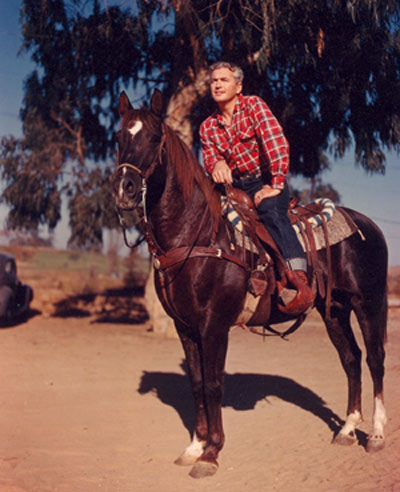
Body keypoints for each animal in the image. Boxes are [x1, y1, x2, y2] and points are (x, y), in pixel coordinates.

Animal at [112, 89, 388, 476]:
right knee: (351, 358)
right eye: (120, 137)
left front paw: (211, 453)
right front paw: (193, 447)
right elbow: (196, 383)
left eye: (153, 137)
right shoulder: (185, 327)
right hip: (334, 309)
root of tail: (368, 226)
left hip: (369, 303)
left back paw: (376, 435)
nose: (124, 189)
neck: (197, 234)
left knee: (375, 359)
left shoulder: (214, 325)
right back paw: (347, 429)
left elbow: (214, 384)